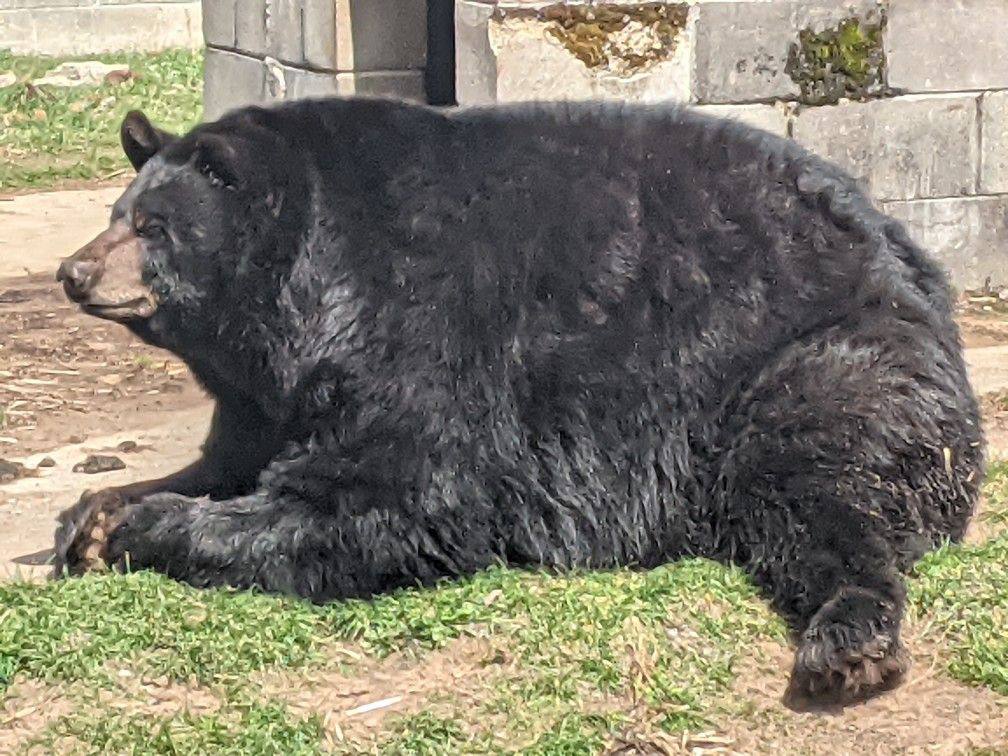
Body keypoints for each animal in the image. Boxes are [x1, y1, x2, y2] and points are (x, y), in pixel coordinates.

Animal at [53, 98, 984, 704]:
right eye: (117, 211)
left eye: (152, 228)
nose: (73, 270)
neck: (297, 297)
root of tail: (914, 258)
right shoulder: (264, 394)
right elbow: (234, 457)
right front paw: (94, 512)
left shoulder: (419, 325)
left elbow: (391, 496)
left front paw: (145, 526)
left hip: (811, 360)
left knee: (823, 486)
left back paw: (848, 636)